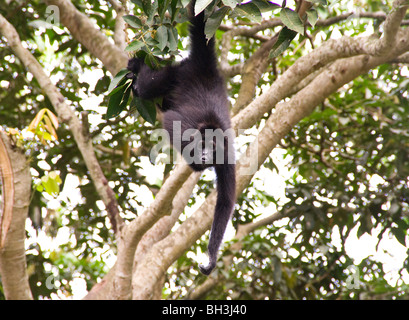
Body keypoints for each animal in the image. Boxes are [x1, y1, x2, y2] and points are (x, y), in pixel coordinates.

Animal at [127, 3, 236, 276]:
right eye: (203, 145)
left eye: (213, 149)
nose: (205, 155)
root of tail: (207, 68)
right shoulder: (187, 128)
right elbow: (170, 122)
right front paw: (195, 161)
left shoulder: (227, 154)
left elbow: (226, 200)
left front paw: (211, 257)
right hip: (176, 72)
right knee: (148, 86)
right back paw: (137, 66)